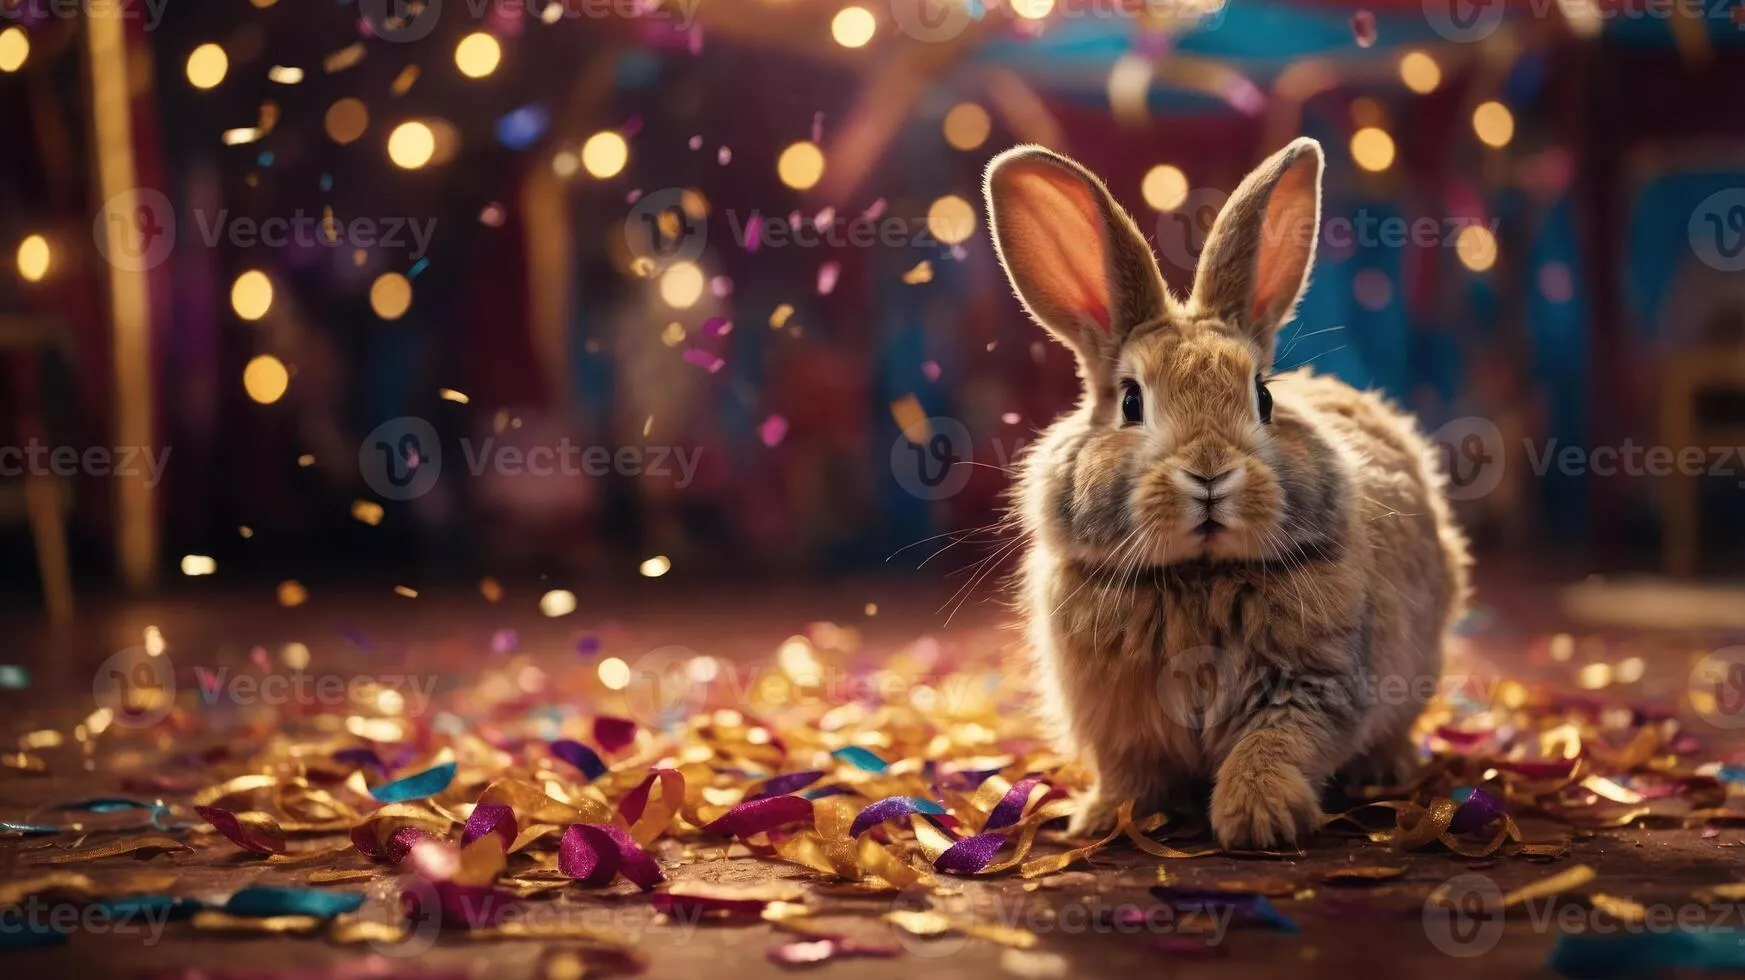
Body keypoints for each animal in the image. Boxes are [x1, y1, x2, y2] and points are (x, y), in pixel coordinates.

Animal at [983, 137, 1470, 850]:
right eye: (1131, 402)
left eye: (1263, 398)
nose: (1209, 472)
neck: (1198, 577)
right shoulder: (1118, 727)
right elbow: (1130, 773)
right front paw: (1103, 818)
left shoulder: (1311, 687)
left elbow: (1272, 747)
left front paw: (1257, 820)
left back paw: (1387, 769)